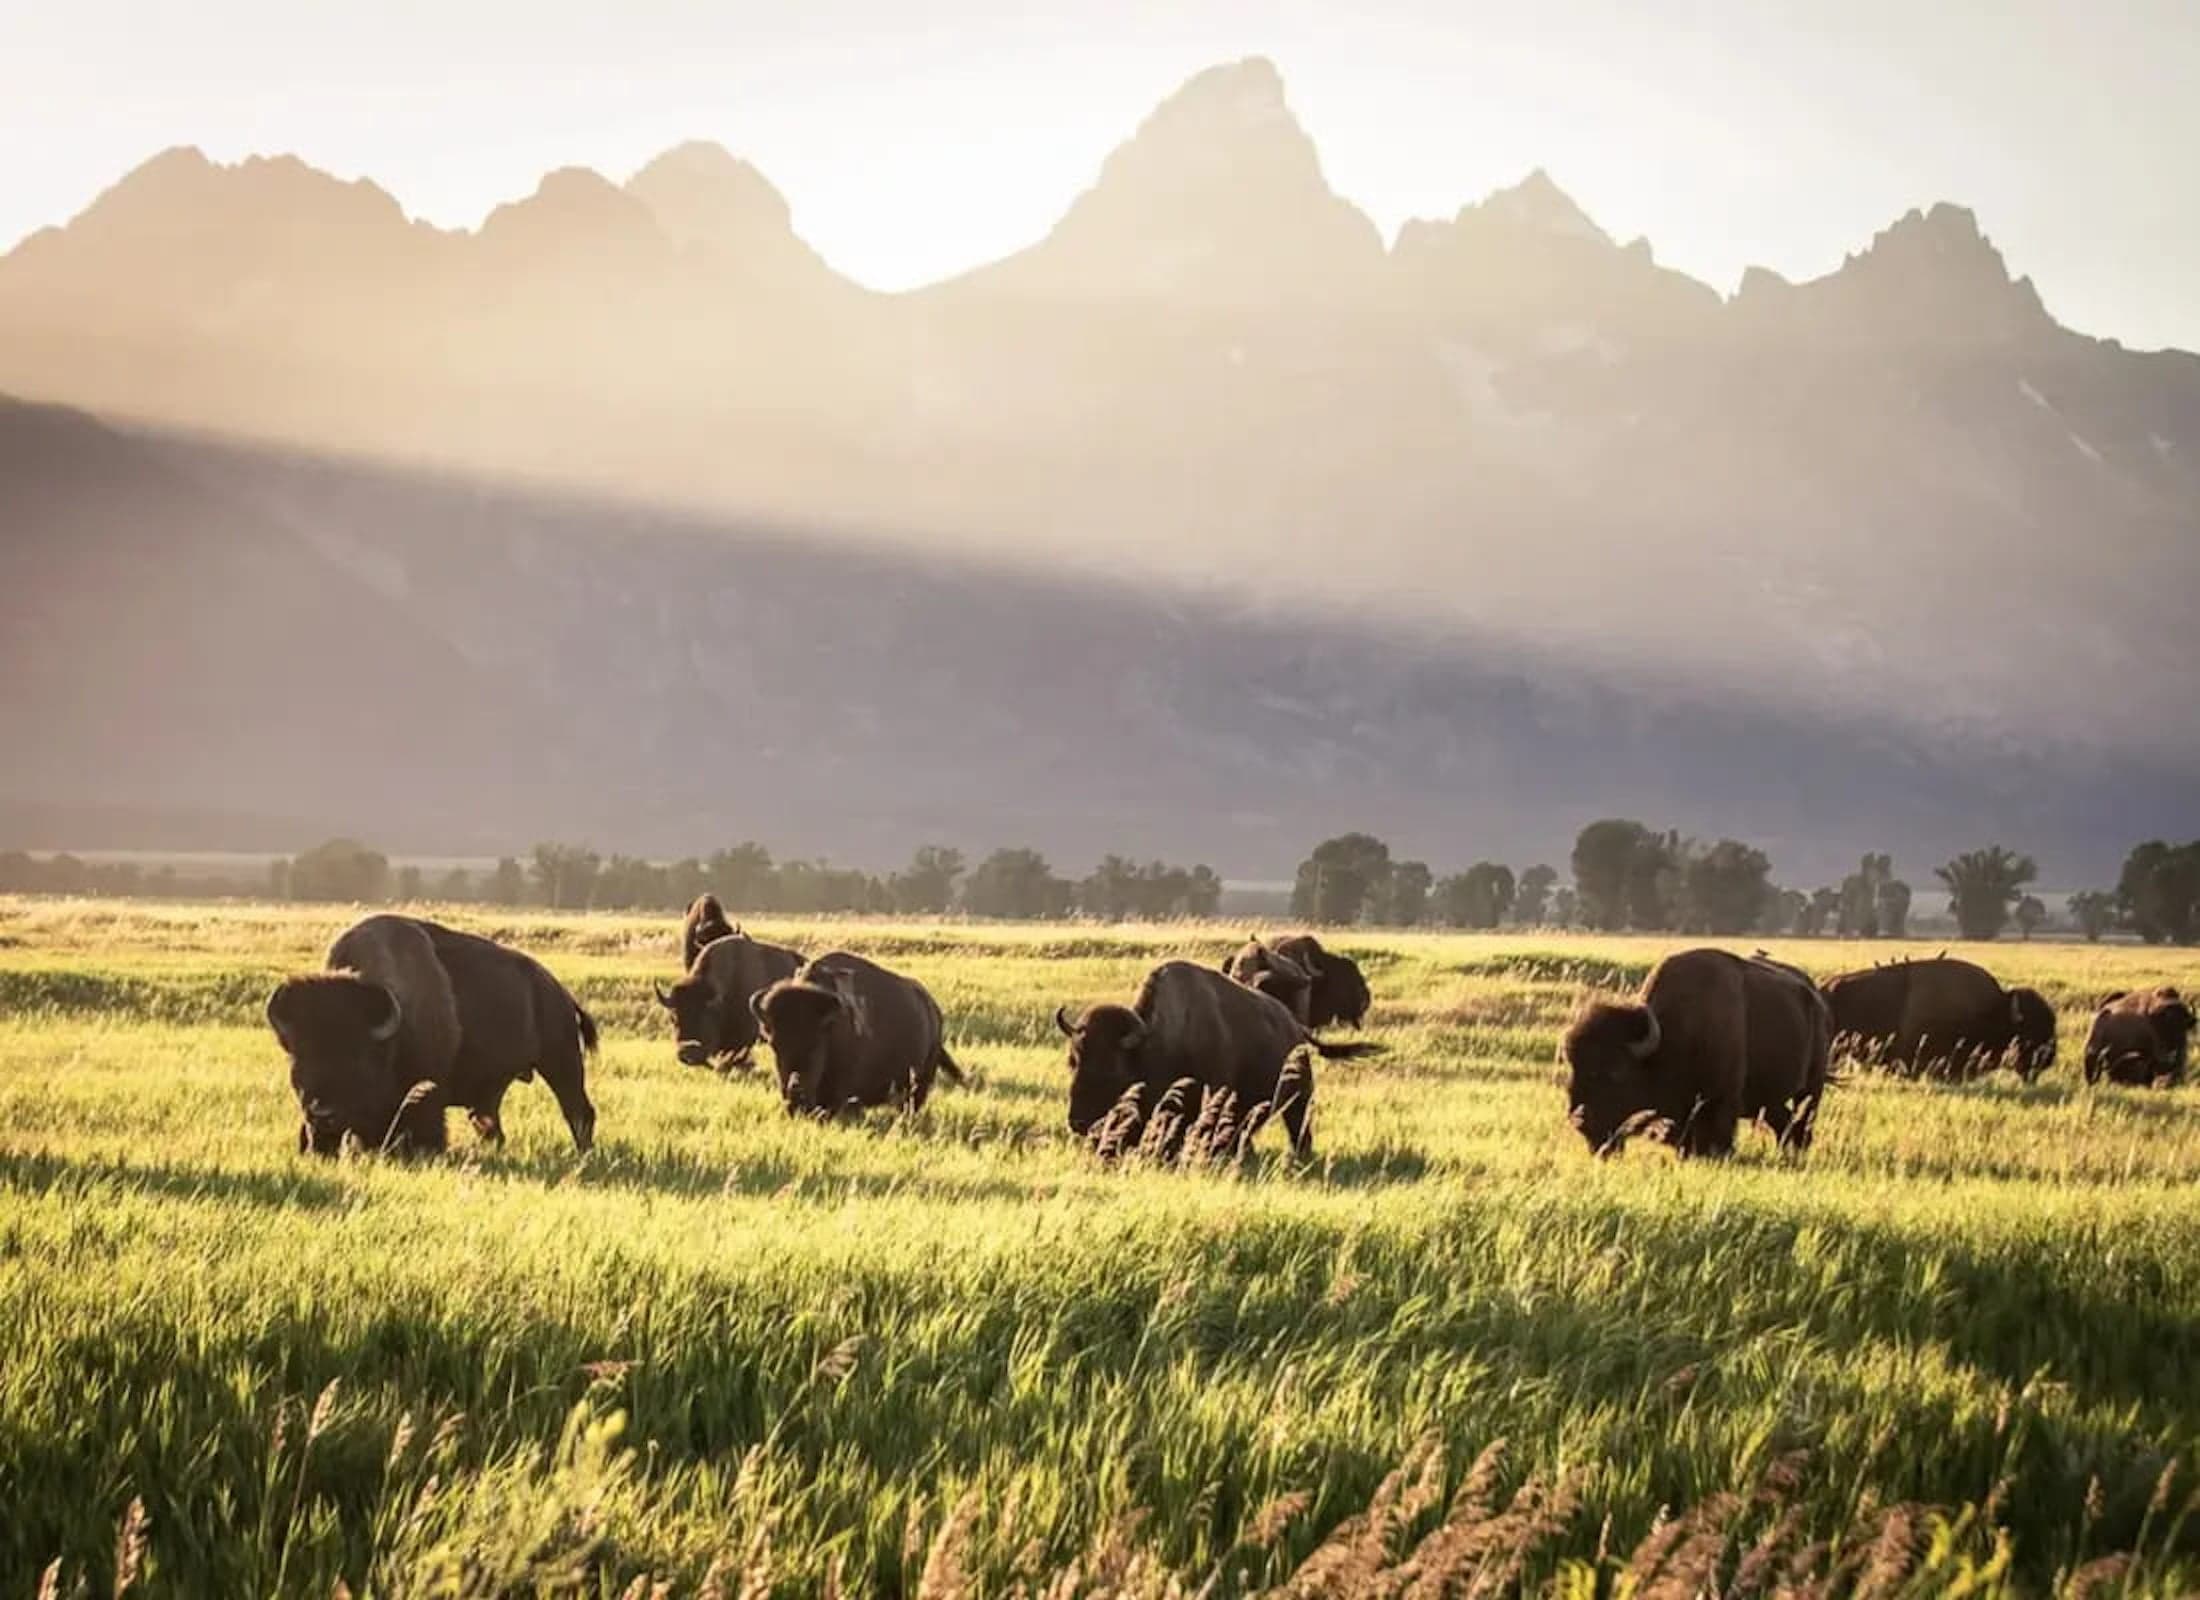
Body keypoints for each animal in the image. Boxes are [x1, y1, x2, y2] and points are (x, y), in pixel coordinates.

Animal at [266, 913, 598, 1157]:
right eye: (296, 1058)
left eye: (357, 1057)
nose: (322, 1114)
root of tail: (562, 994)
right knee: (489, 1124)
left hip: (562, 1063)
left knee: (578, 1111)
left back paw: (583, 1153)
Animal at [750, 952, 964, 1117]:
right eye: (774, 1044)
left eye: (816, 1043)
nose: (795, 1101)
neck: (830, 1023)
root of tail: (933, 1010)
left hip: (920, 1084)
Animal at [1057, 960, 1380, 1160]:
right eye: (1072, 1062)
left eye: (1112, 1068)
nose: (1078, 1122)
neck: (1154, 1042)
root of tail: (1295, 1026)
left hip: (1299, 1099)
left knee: (1298, 1129)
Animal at [1564, 947, 1828, 1158]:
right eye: (1574, 1067)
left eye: (1617, 1071)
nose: (1581, 1121)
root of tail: (1817, 999)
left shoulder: (1720, 1101)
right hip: (1771, 1100)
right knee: (1784, 1122)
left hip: (1811, 1090)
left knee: (1802, 1121)